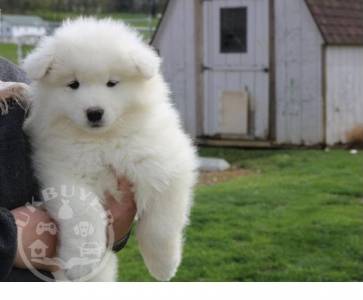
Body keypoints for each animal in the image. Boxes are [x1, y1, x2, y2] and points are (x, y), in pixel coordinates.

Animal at [18, 18, 198, 282]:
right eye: (73, 84)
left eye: (112, 83)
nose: (94, 112)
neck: (104, 141)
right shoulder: (61, 172)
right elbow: (85, 212)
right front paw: (81, 263)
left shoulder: (168, 168)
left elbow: (161, 225)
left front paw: (164, 266)